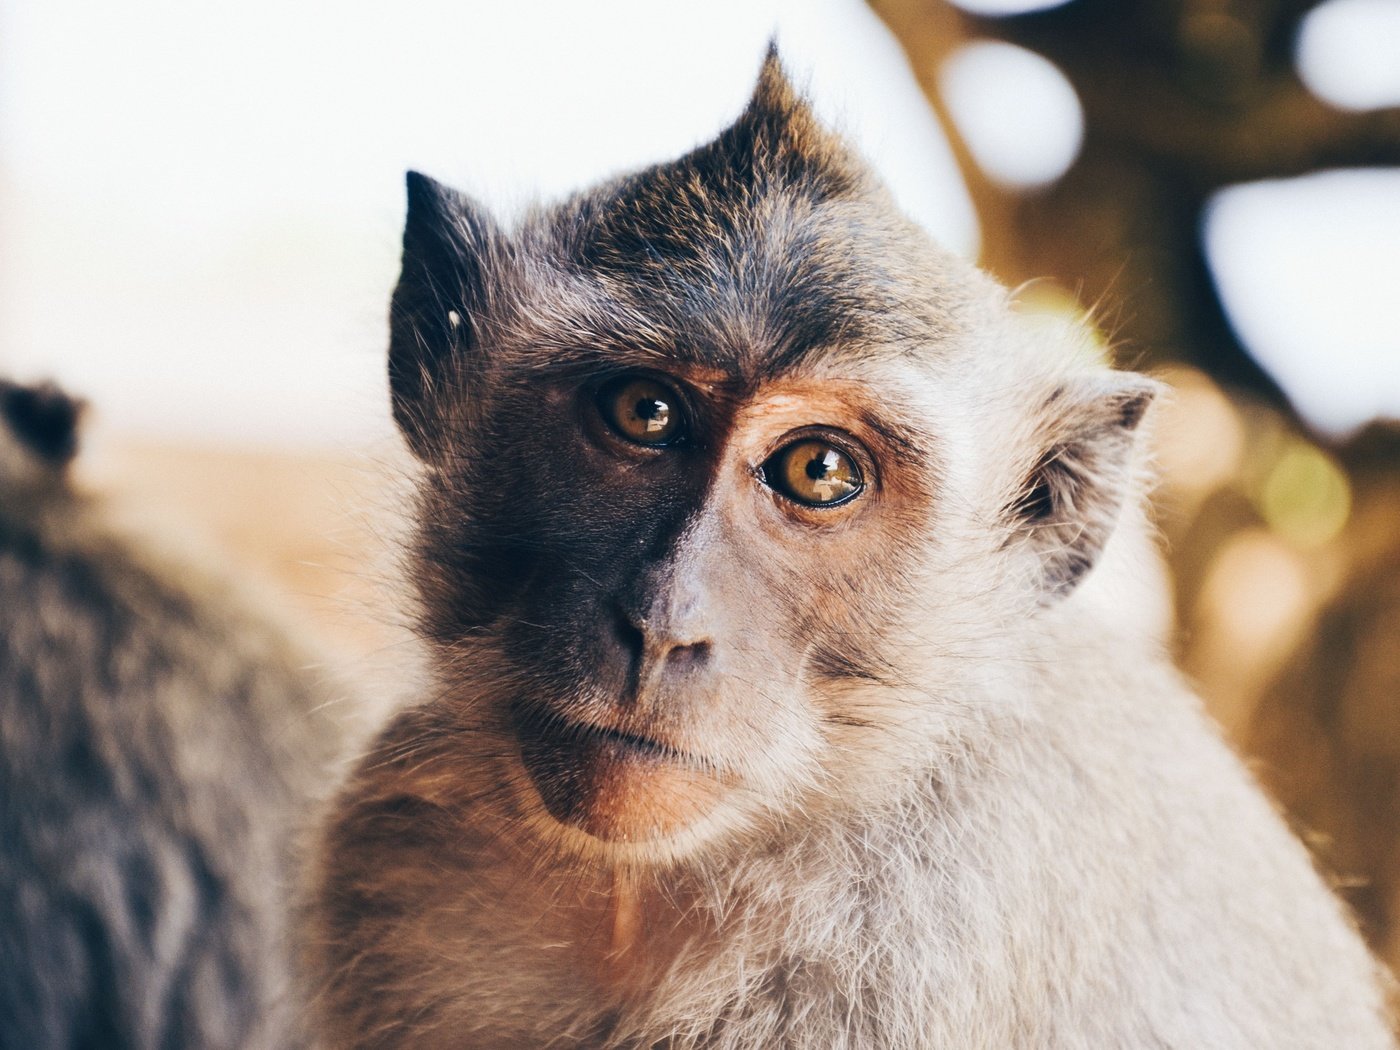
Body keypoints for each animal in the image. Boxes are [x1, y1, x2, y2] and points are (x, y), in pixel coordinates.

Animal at [301, 51, 1394, 1050]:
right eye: (645, 411)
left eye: (818, 470)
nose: (663, 625)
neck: (642, 891)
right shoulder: (394, 860)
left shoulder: (911, 932)